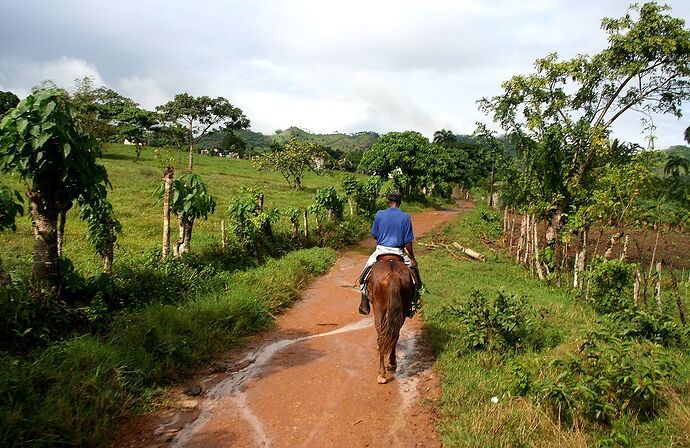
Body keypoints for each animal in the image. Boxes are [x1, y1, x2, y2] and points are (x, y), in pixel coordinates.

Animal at [366, 254, 414, 384]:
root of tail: (393, 275)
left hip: (378, 308)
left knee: (381, 336)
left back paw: (382, 373)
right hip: (402, 308)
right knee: (394, 335)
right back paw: (391, 364)